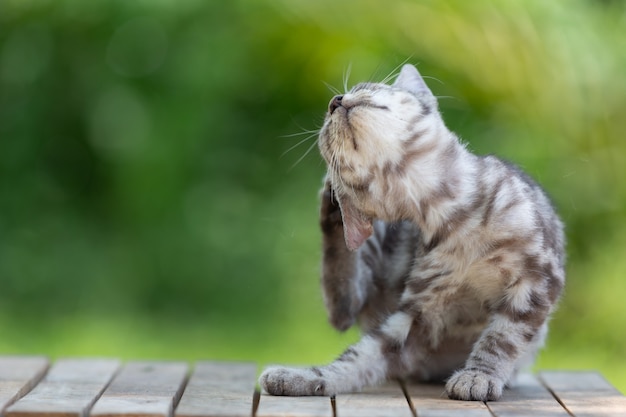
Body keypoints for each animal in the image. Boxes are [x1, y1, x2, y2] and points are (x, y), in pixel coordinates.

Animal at [260, 64, 564, 400]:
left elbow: (501, 337)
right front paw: (301, 376)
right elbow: (354, 359)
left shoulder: (537, 279)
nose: (334, 102)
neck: (451, 215)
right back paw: (331, 206)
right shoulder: (413, 317)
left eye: (365, 87)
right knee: (341, 304)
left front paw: (478, 375)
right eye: (326, 135)